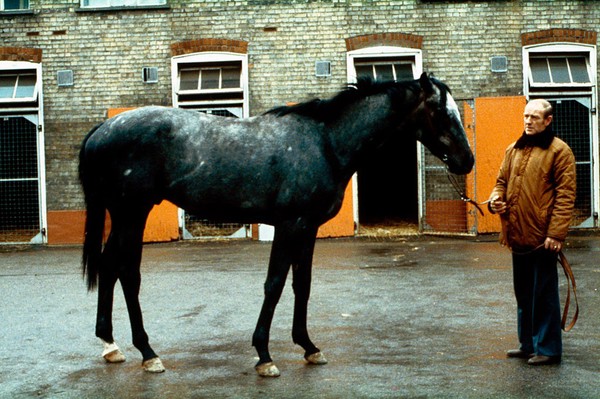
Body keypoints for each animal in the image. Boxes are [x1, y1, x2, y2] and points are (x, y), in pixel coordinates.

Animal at [78, 72, 474, 378]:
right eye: (440, 111)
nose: (467, 161)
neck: (326, 143)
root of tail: (104, 127)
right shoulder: (289, 225)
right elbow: (275, 285)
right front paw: (264, 356)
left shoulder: (308, 228)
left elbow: (303, 285)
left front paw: (309, 346)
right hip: (132, 213)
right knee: (127, 273)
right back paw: (148, 352)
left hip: (123, 215)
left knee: (109, 266)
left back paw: (110, 345)